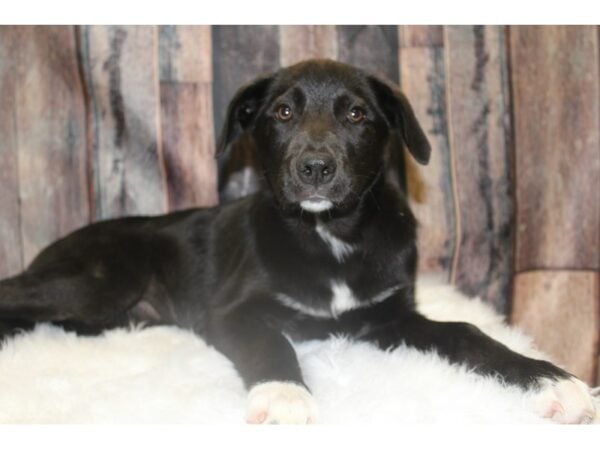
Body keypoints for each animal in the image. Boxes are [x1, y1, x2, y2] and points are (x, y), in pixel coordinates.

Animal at [0, 59, 596, 422]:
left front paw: (547, 379)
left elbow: (467, 331)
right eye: (283, 112)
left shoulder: (390, 317)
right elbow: (274, 343)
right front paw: (285, 394)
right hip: (99, 281)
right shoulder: (234, 310)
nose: (314, 168)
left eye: (357, 113)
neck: (329, 234)